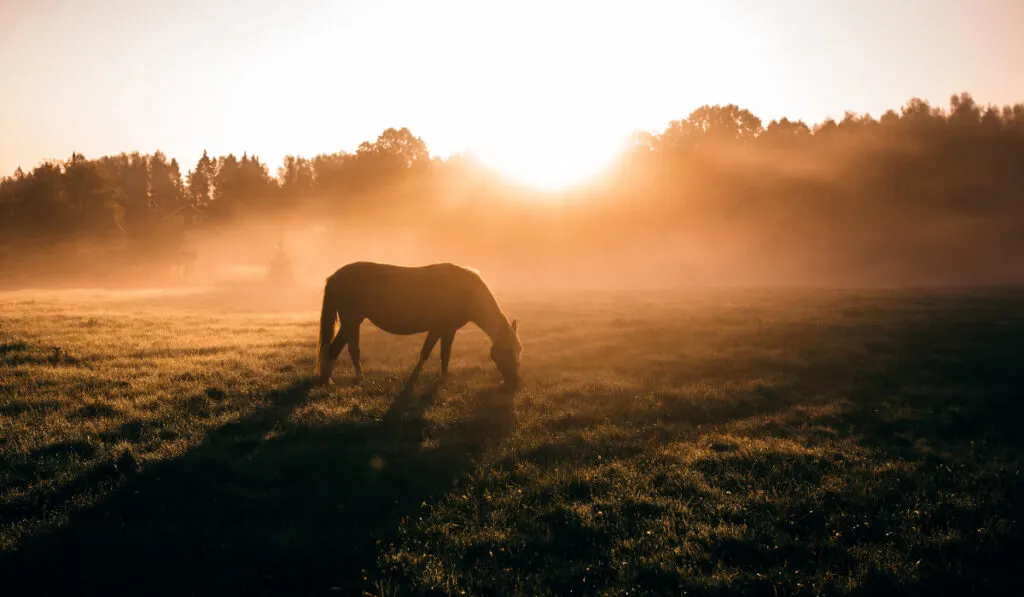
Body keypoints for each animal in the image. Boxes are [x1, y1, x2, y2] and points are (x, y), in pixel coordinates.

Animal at [309, 262, 520, 387]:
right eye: (507, 351)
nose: (514, 383)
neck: (468, 291)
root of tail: (335, 276)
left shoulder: (440, 329)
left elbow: (432, 352)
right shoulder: (445, 329)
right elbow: (440, 353)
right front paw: (438, 379)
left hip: (353, 323)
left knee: (352, 349)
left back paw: (359, 379)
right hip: (351, 322)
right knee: (334, 349)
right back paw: (328, 381)